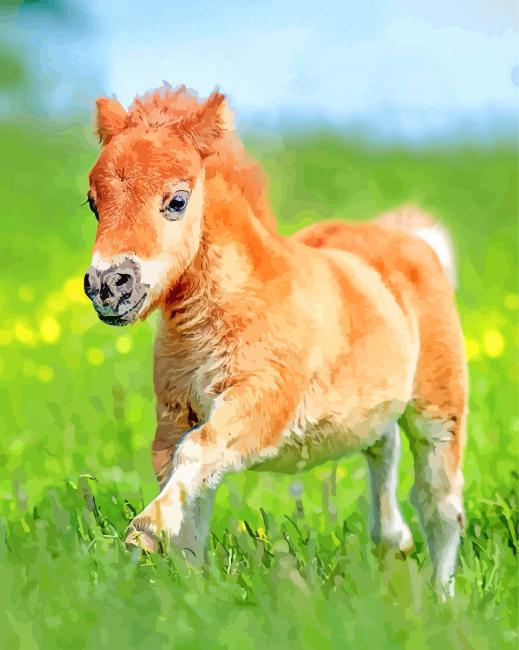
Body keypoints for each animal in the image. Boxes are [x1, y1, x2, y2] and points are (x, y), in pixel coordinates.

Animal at [83, 84, 467, 596]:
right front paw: (188, 587)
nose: (108, 284)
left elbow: (197, 452)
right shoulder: (174, 414)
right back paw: (394, 543)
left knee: (439, 503)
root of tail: (411, 239)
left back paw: (443, 599)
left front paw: (145, 531)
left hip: (438, 407)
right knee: (382, 447)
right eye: (93, 203)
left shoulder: (262, 401)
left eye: (177, 201)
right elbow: (188, 489)